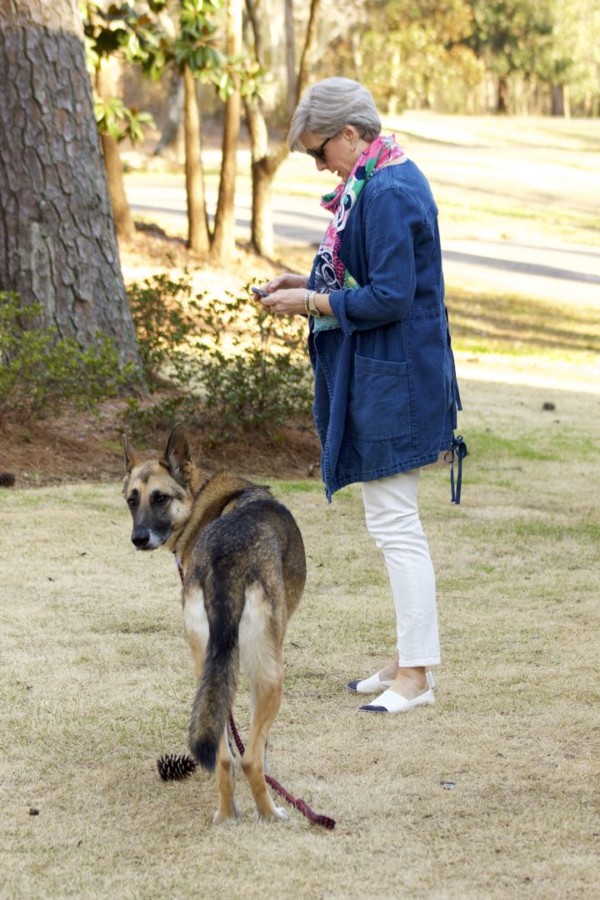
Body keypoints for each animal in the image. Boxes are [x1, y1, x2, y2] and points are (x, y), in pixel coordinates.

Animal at [123, 422, 308, 824]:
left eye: (159, 498)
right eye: (132, 500)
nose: (138, 538)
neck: (201, 499)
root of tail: (226, 558)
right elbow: (261, 746)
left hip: (205, 670)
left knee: (224, 757)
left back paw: (227, 816)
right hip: (270, 676)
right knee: (249, 758)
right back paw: (271, 814)